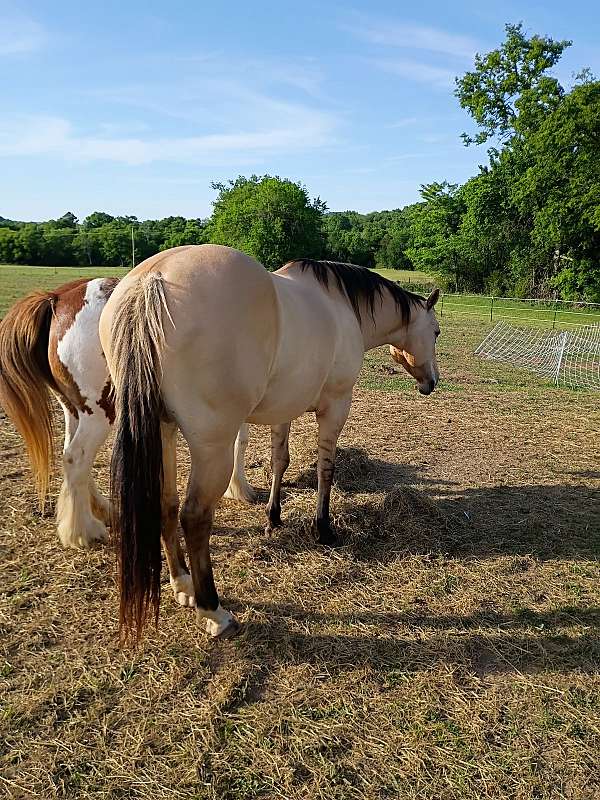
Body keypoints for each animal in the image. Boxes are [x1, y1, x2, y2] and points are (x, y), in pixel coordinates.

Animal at [0, 276, 255, 561]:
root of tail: (57, 299)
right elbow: (240, 441)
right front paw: (240, 488)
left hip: (73, 409)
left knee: (73, 458)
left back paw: (102, 511)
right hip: (100, 411)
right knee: (76, 458)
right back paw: (84, 532)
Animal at [99, 244, 440, 642]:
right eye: (435, 332)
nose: (431, 382)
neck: (342, 306)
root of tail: (151, 281)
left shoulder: (284, 410)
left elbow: (280, 461)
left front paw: (273, 517)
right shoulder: (336, 407)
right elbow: (326, 470)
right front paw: (323, 528)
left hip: (163, 431)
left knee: (166, 504)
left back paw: (182, 583)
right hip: (212, 449)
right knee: (194, 517)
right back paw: (213, 611)